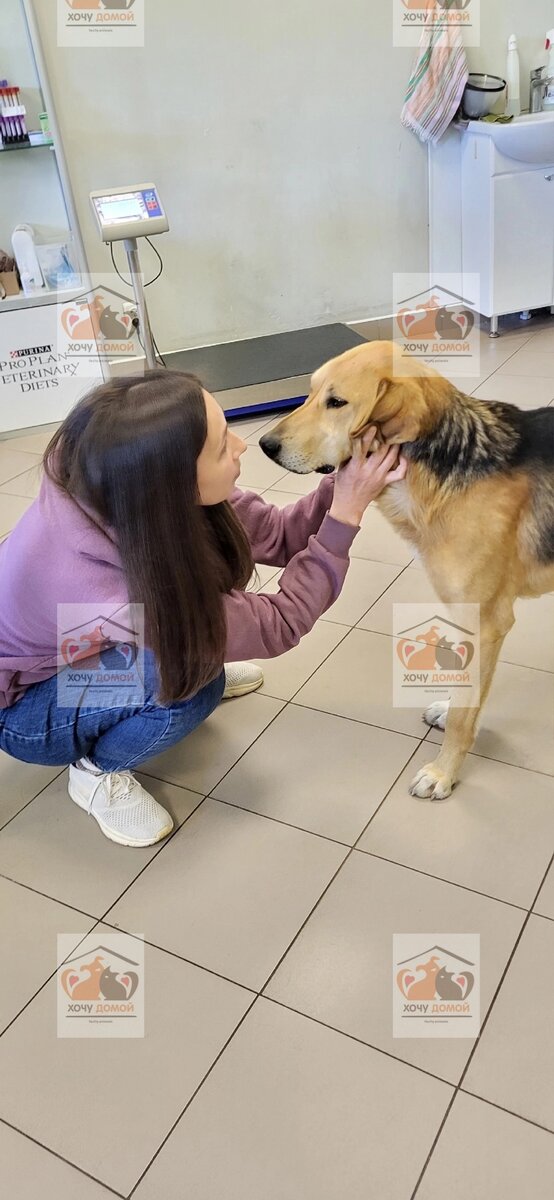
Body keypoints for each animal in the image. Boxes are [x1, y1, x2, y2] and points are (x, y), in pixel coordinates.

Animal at [260, 343, 554, 801]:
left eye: (336, 402)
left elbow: (464, 715)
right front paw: (451, 712)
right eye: (308, 393)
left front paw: (443, 772)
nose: (264, 444)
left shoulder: (487, 621)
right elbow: (467, 693)